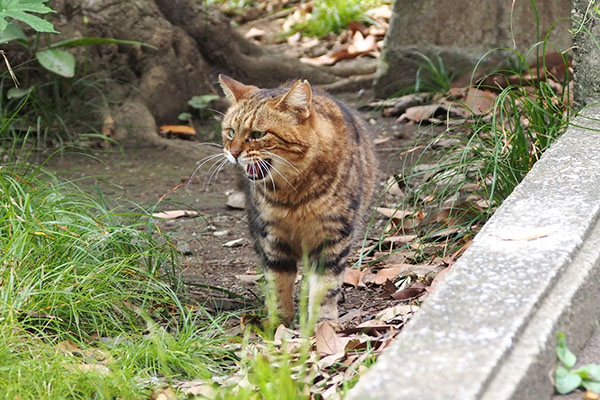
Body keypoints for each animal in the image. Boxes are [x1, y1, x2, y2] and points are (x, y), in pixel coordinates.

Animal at [217, 74, 376, 324]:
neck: (293, 193)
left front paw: (321, 324)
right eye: (231, 132)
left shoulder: (334, 236)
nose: (233, 153)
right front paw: (279, 322)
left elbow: (325, 286)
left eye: (258, 134)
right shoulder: (271, 237)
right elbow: (278, 283)